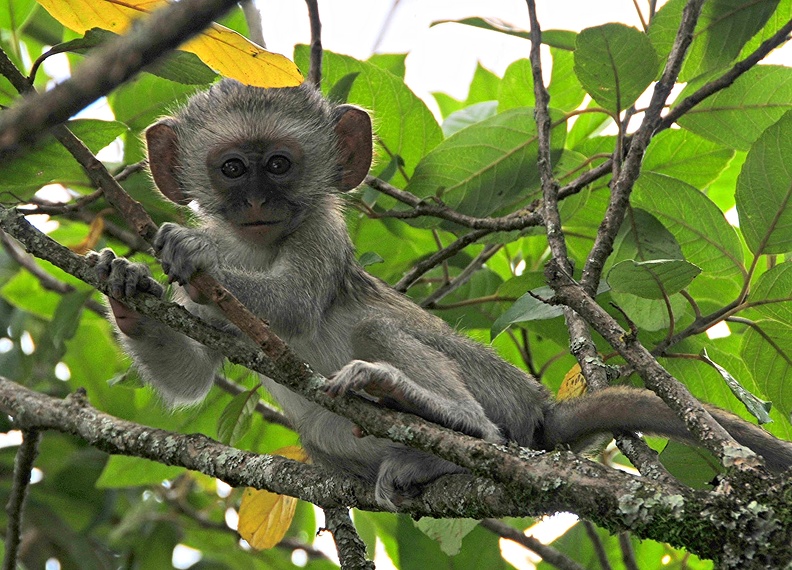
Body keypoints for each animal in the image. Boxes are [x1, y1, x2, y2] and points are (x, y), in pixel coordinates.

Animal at [91, 79, 792, 506]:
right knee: (320, 434)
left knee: (389, 340)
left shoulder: (323, 229)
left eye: (280, 165)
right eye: (233, 169)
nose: (259, 203)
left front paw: (190, 249)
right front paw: (125, 283)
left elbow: (293, 303)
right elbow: (190, 378)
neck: (255, 247)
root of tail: (541, 408)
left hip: (497, 392)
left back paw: (430, 408)